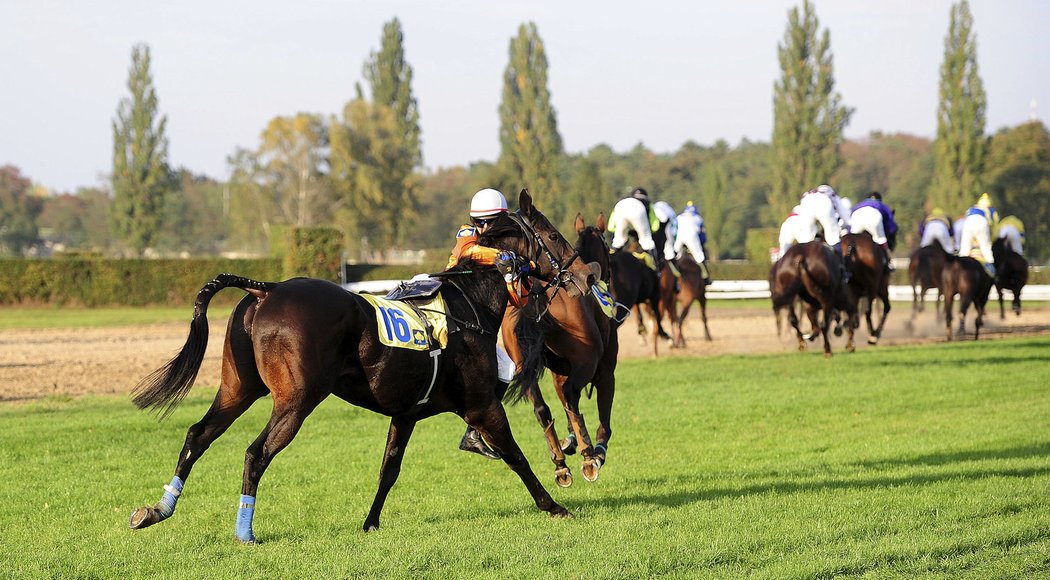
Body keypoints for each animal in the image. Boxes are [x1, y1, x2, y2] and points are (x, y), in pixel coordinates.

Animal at [503, 213, 617, 485]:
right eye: (608, 248)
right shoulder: (605, 371)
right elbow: (602, 419)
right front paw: (597, 451)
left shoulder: (558, 372)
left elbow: (563, 404)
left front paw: (570, 441)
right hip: (587, 363)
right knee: (571, 393)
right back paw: (588, 456)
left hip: (523, 366)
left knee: (541, 406)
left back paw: (560, 462)